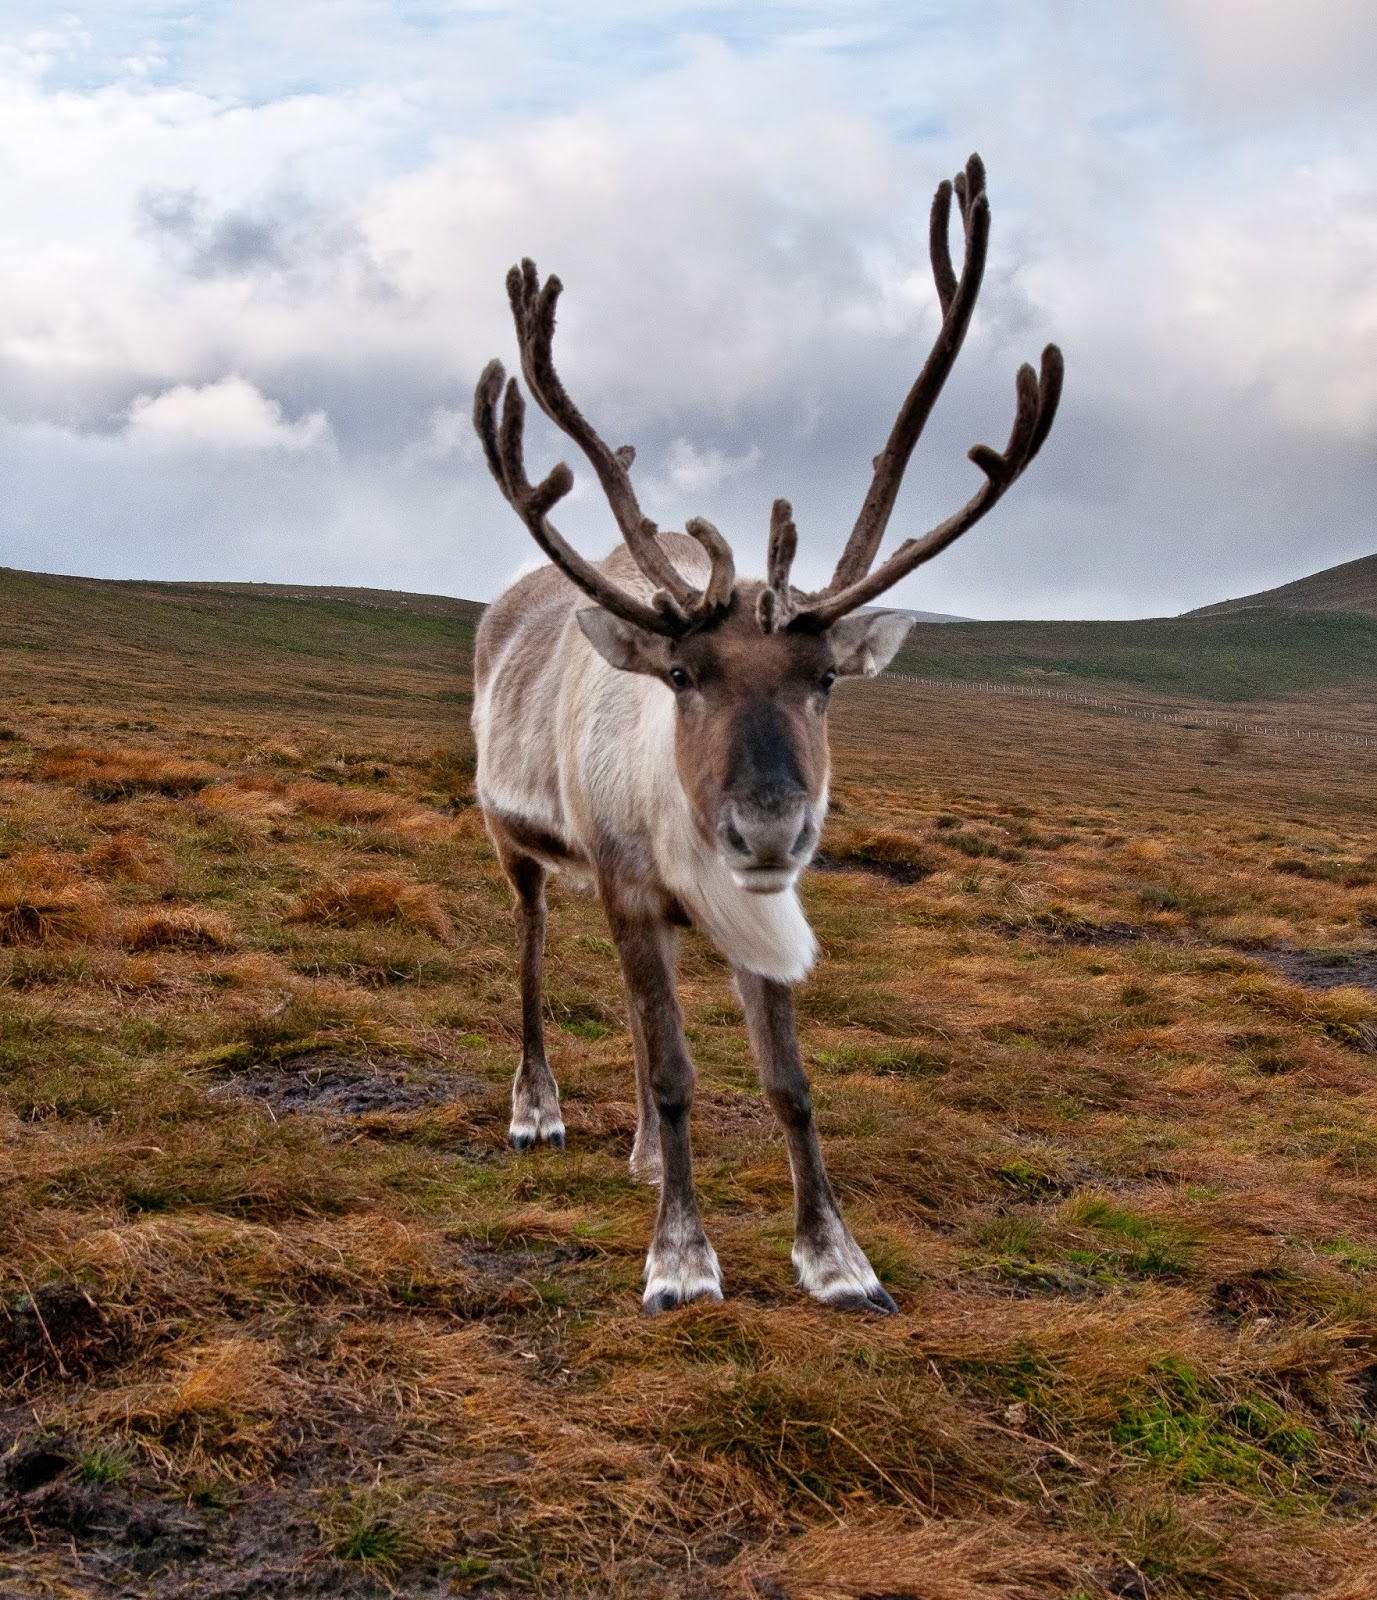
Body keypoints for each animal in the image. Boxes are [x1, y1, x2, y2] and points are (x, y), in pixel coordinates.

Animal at [471, 154, 1062, 1315]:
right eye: (683, 676)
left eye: (825, 676)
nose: (769, 830)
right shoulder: (624, 884)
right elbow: (674, 1070)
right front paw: (680, 1257)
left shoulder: (746, 911)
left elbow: (786, 1082)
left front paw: (835, 1257)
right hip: (515, 845)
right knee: (529, 950)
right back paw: (537, 1108)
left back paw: (641, 1153)